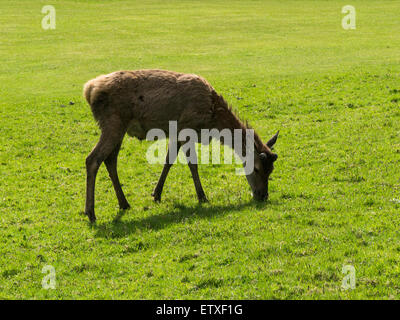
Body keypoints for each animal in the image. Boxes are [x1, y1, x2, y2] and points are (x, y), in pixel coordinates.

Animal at [83, 69, 278, 221]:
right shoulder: (187, 128)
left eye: (271, 170)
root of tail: (89, 89)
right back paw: (91, 213)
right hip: (113, 122)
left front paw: (156, 194)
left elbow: (168, 161)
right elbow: (193, 164)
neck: (211, 118)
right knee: (92, 159)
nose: (263, 195)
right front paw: (202, 197)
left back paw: (123, 203)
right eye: (257, 168)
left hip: (119, 128)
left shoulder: (176, 132)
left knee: (110, 160)